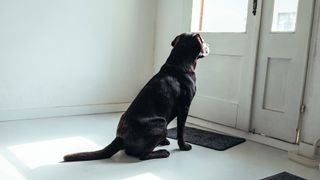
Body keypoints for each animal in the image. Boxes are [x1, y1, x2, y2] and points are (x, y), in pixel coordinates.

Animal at [64, 33, 210, 161]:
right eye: (203, 40)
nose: (208, 45)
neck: (179, 63)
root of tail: (120, 139)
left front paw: (165, 141)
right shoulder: (184, 107)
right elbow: (181, 131)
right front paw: (184, 146)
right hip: (161, 123)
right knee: (143, 155)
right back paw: (162, 152)